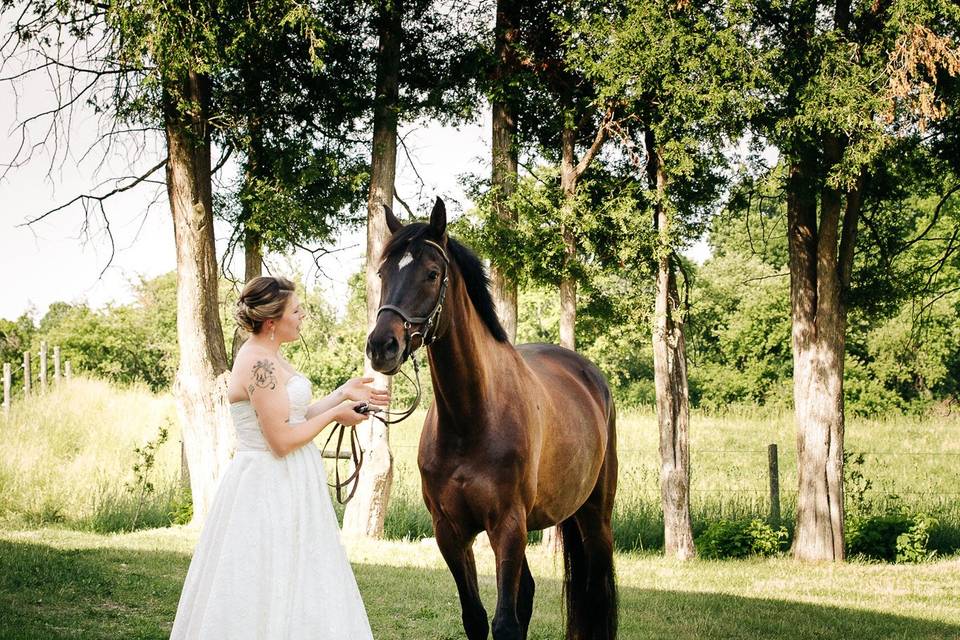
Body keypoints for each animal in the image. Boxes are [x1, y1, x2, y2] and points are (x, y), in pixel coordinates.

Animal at [364, 198, 620, 636]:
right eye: (384, 273)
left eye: (432, 274)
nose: (383, 346)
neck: (471, 419)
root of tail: (591, 377)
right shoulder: (450, 532)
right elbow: (476, 618)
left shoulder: (508, 527)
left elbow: (505, 624)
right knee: (530, 591)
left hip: (594, 518)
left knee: (597, 595)